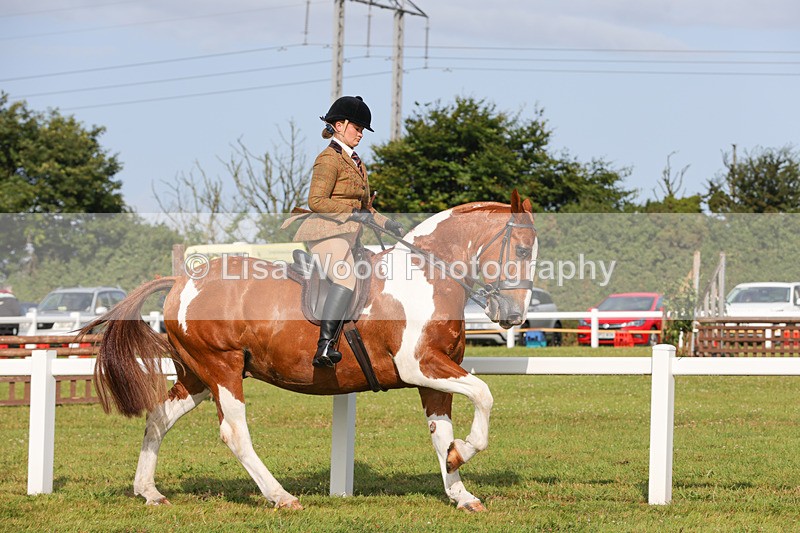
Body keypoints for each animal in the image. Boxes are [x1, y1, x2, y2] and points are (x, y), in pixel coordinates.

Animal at [83, 190, 538, 512]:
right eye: (521, 250)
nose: (513, 315)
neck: (428, 275)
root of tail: (182, 280)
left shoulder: (436, 374)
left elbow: (440, 432)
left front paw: (459, 485)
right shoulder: (420, 366)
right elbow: (484, 395)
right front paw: (464, 452)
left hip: (197, 375)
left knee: (159, 417)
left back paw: (149, 491)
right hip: (222, 369)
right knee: (234, 432)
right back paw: (281, 496)